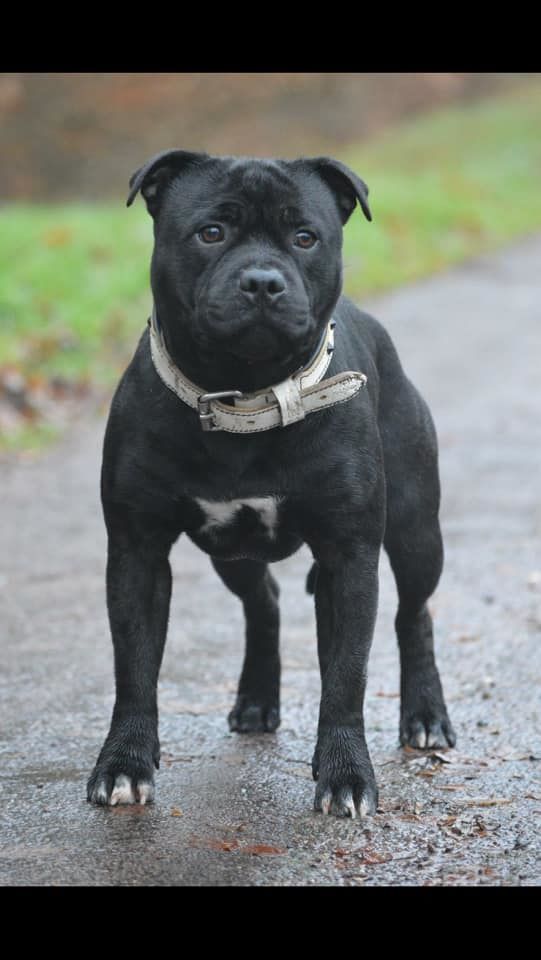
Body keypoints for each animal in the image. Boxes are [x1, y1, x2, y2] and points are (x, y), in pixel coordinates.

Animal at [86, 150, 454, 816]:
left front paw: (346, 774)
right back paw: (257, 699)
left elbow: (346, 676)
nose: (262, 282)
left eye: (305, 237)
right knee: (265, 603)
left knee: (414, 613)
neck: (246, 396)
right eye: (211, 232)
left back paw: (425, 715)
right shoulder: (137, 553)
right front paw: (124, 763)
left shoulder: (349, 557)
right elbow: (135, 668)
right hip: (233, 551)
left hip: (417, 533)